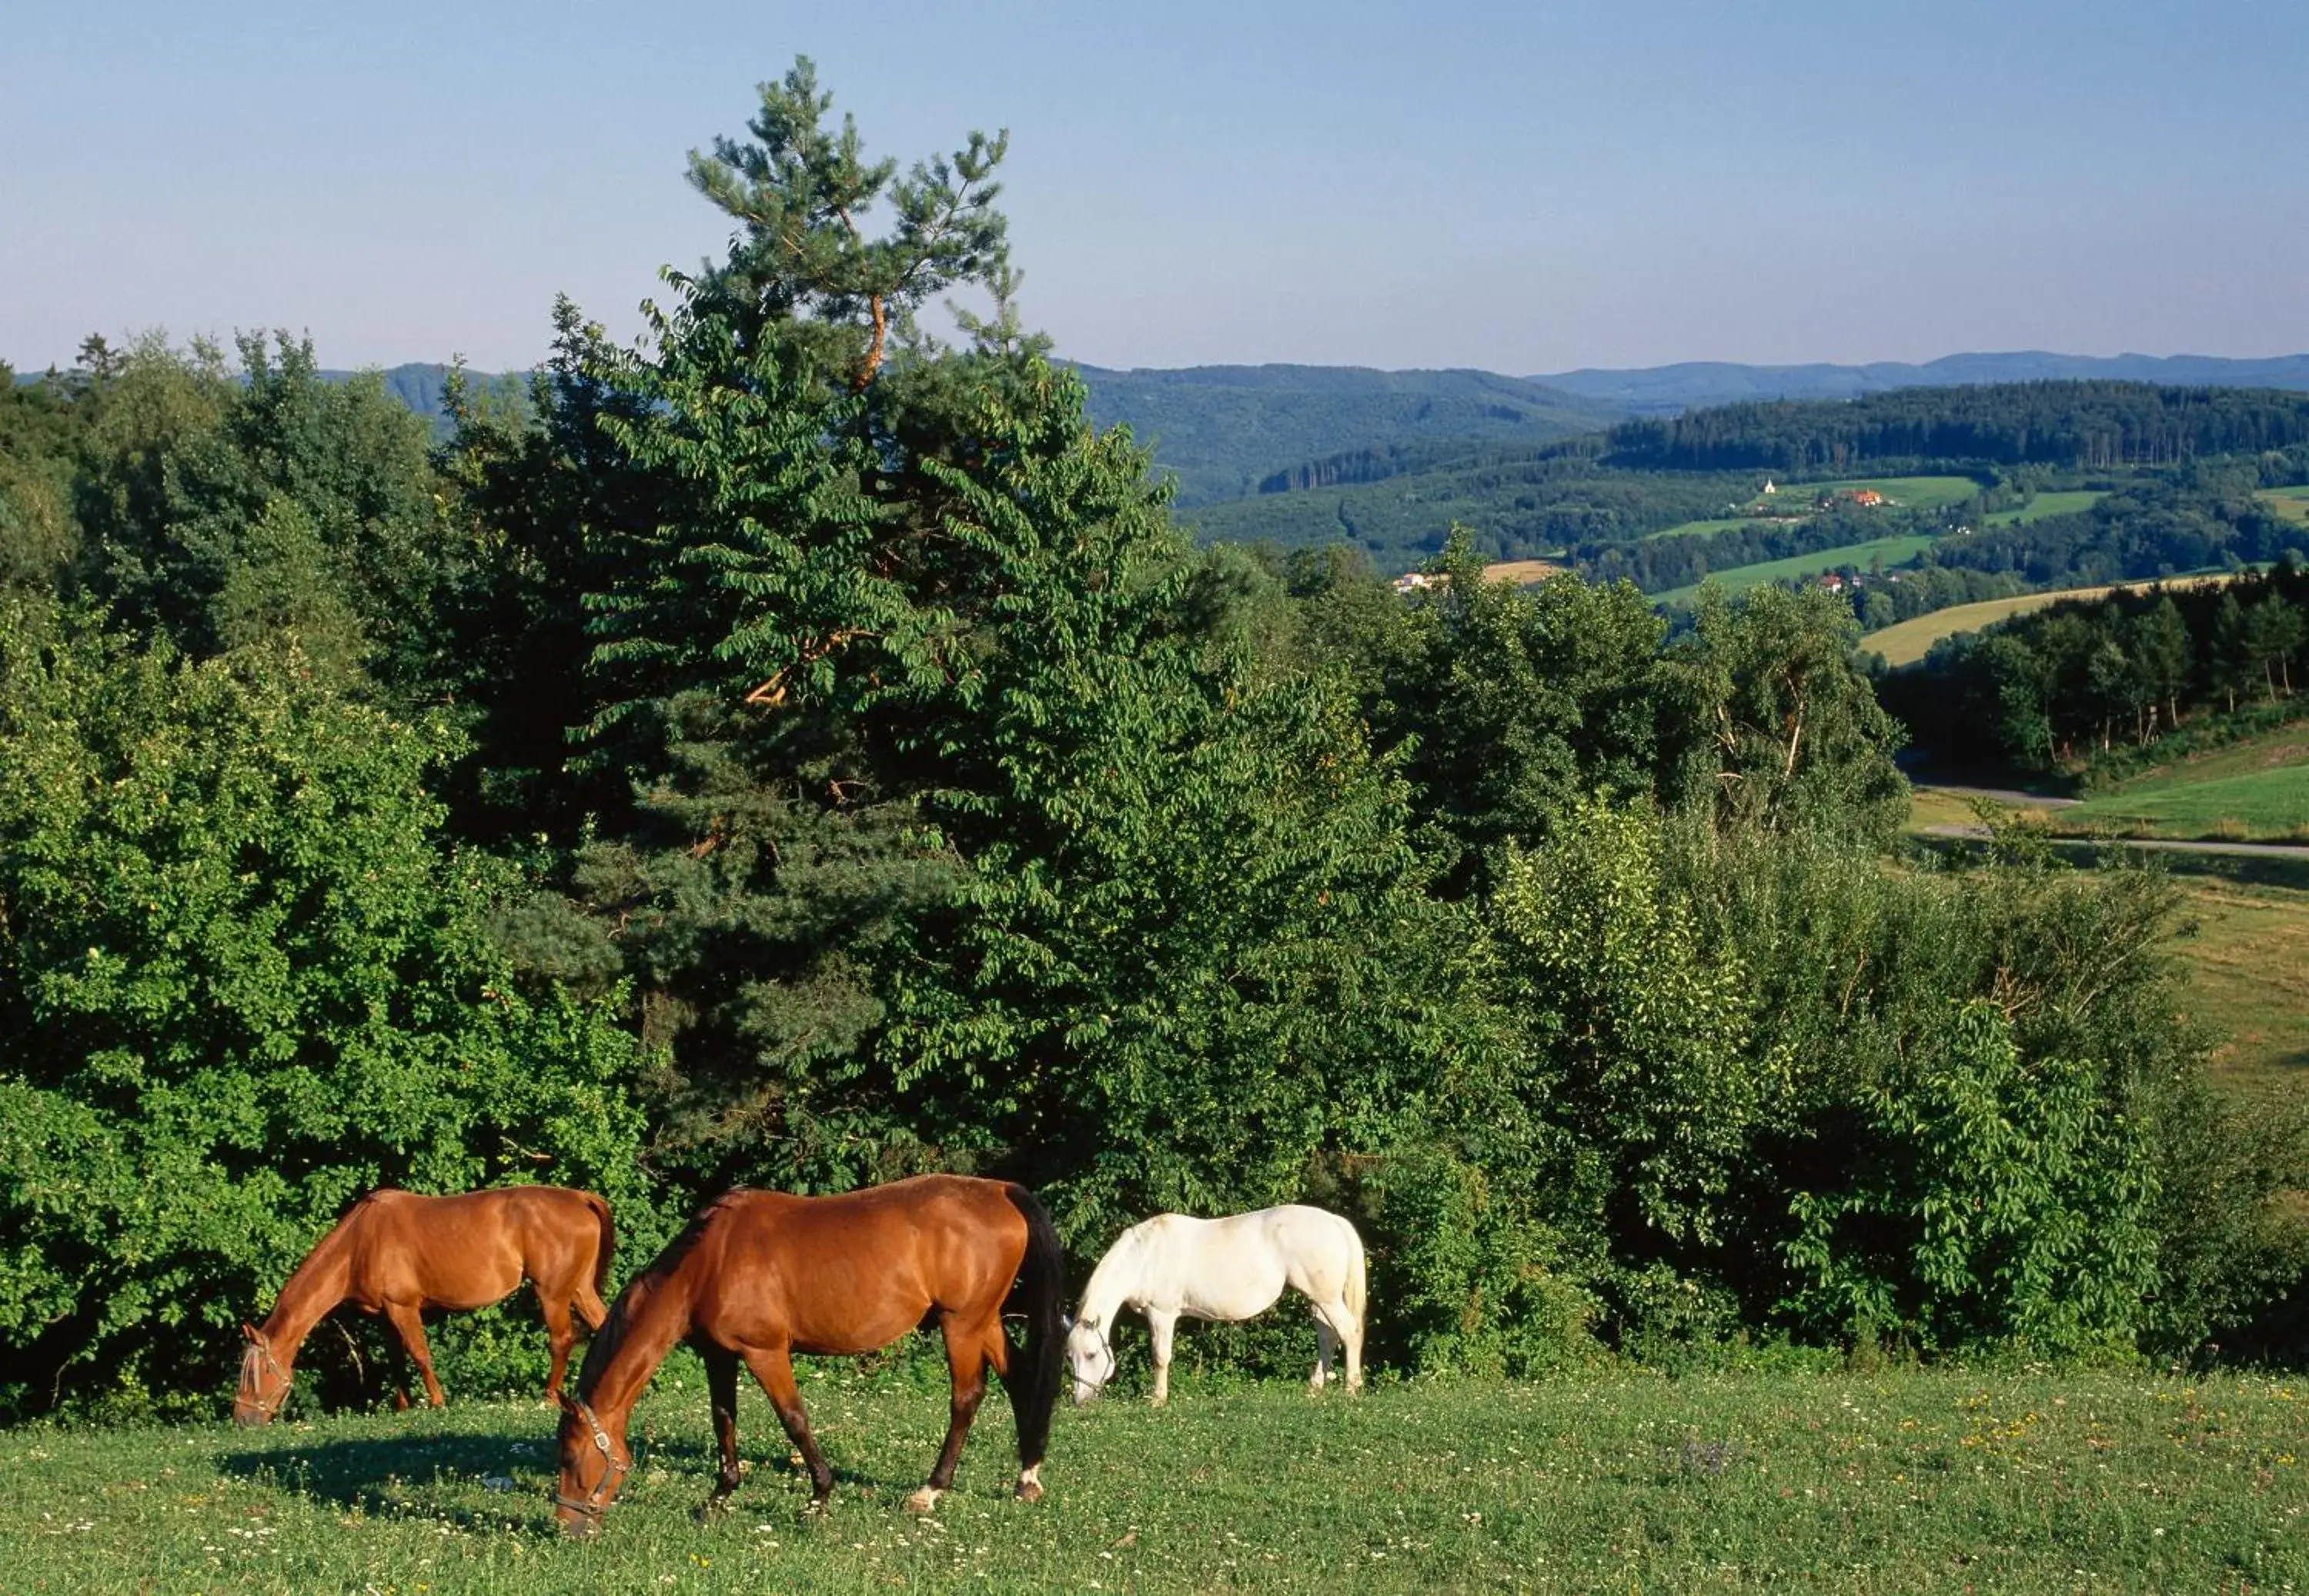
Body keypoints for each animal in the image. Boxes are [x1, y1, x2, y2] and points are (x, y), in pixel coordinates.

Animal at [234, 1182, 614, 1422]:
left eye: (254, 1373)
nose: (242, 1420)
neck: (360, 1242)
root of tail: (580, 1198)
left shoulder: (403, 1307)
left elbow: (420, 1354)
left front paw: (437, 1402)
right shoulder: (384, 1317)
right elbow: (397, 1361)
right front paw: (403, 1407)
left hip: (553, 1294)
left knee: (561, 1341)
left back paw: (549, 1397)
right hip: (580, 1290)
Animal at [554, 1177, 1067, 1542]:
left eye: (572, 1457)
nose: (566, 1527)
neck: (709, 1262)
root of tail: (1000, 1190)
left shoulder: (765, 1353)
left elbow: (794, 1419)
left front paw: (819, 1497)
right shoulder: (720, 1355)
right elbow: (724, 1419)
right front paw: (718, 1497)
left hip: (961, 1324)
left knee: (966, 1398)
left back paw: (929, 1492)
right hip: (986, 1321)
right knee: (1020, 1382)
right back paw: (1027, 1480)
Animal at [1067, 1200, 1367, 1404]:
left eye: (1091, 1354)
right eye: (1070, 1356)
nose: (1080, 1401)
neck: (1145, 1256)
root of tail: (1335, 1221)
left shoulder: (1161, 1315)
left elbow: (1160, 1357)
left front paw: (1158, 1400)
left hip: (1327, 1300)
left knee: (1349, 1333)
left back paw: (1351, 1389)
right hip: (1317, 1301)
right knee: (1328, 1337)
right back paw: (1315, 1389)